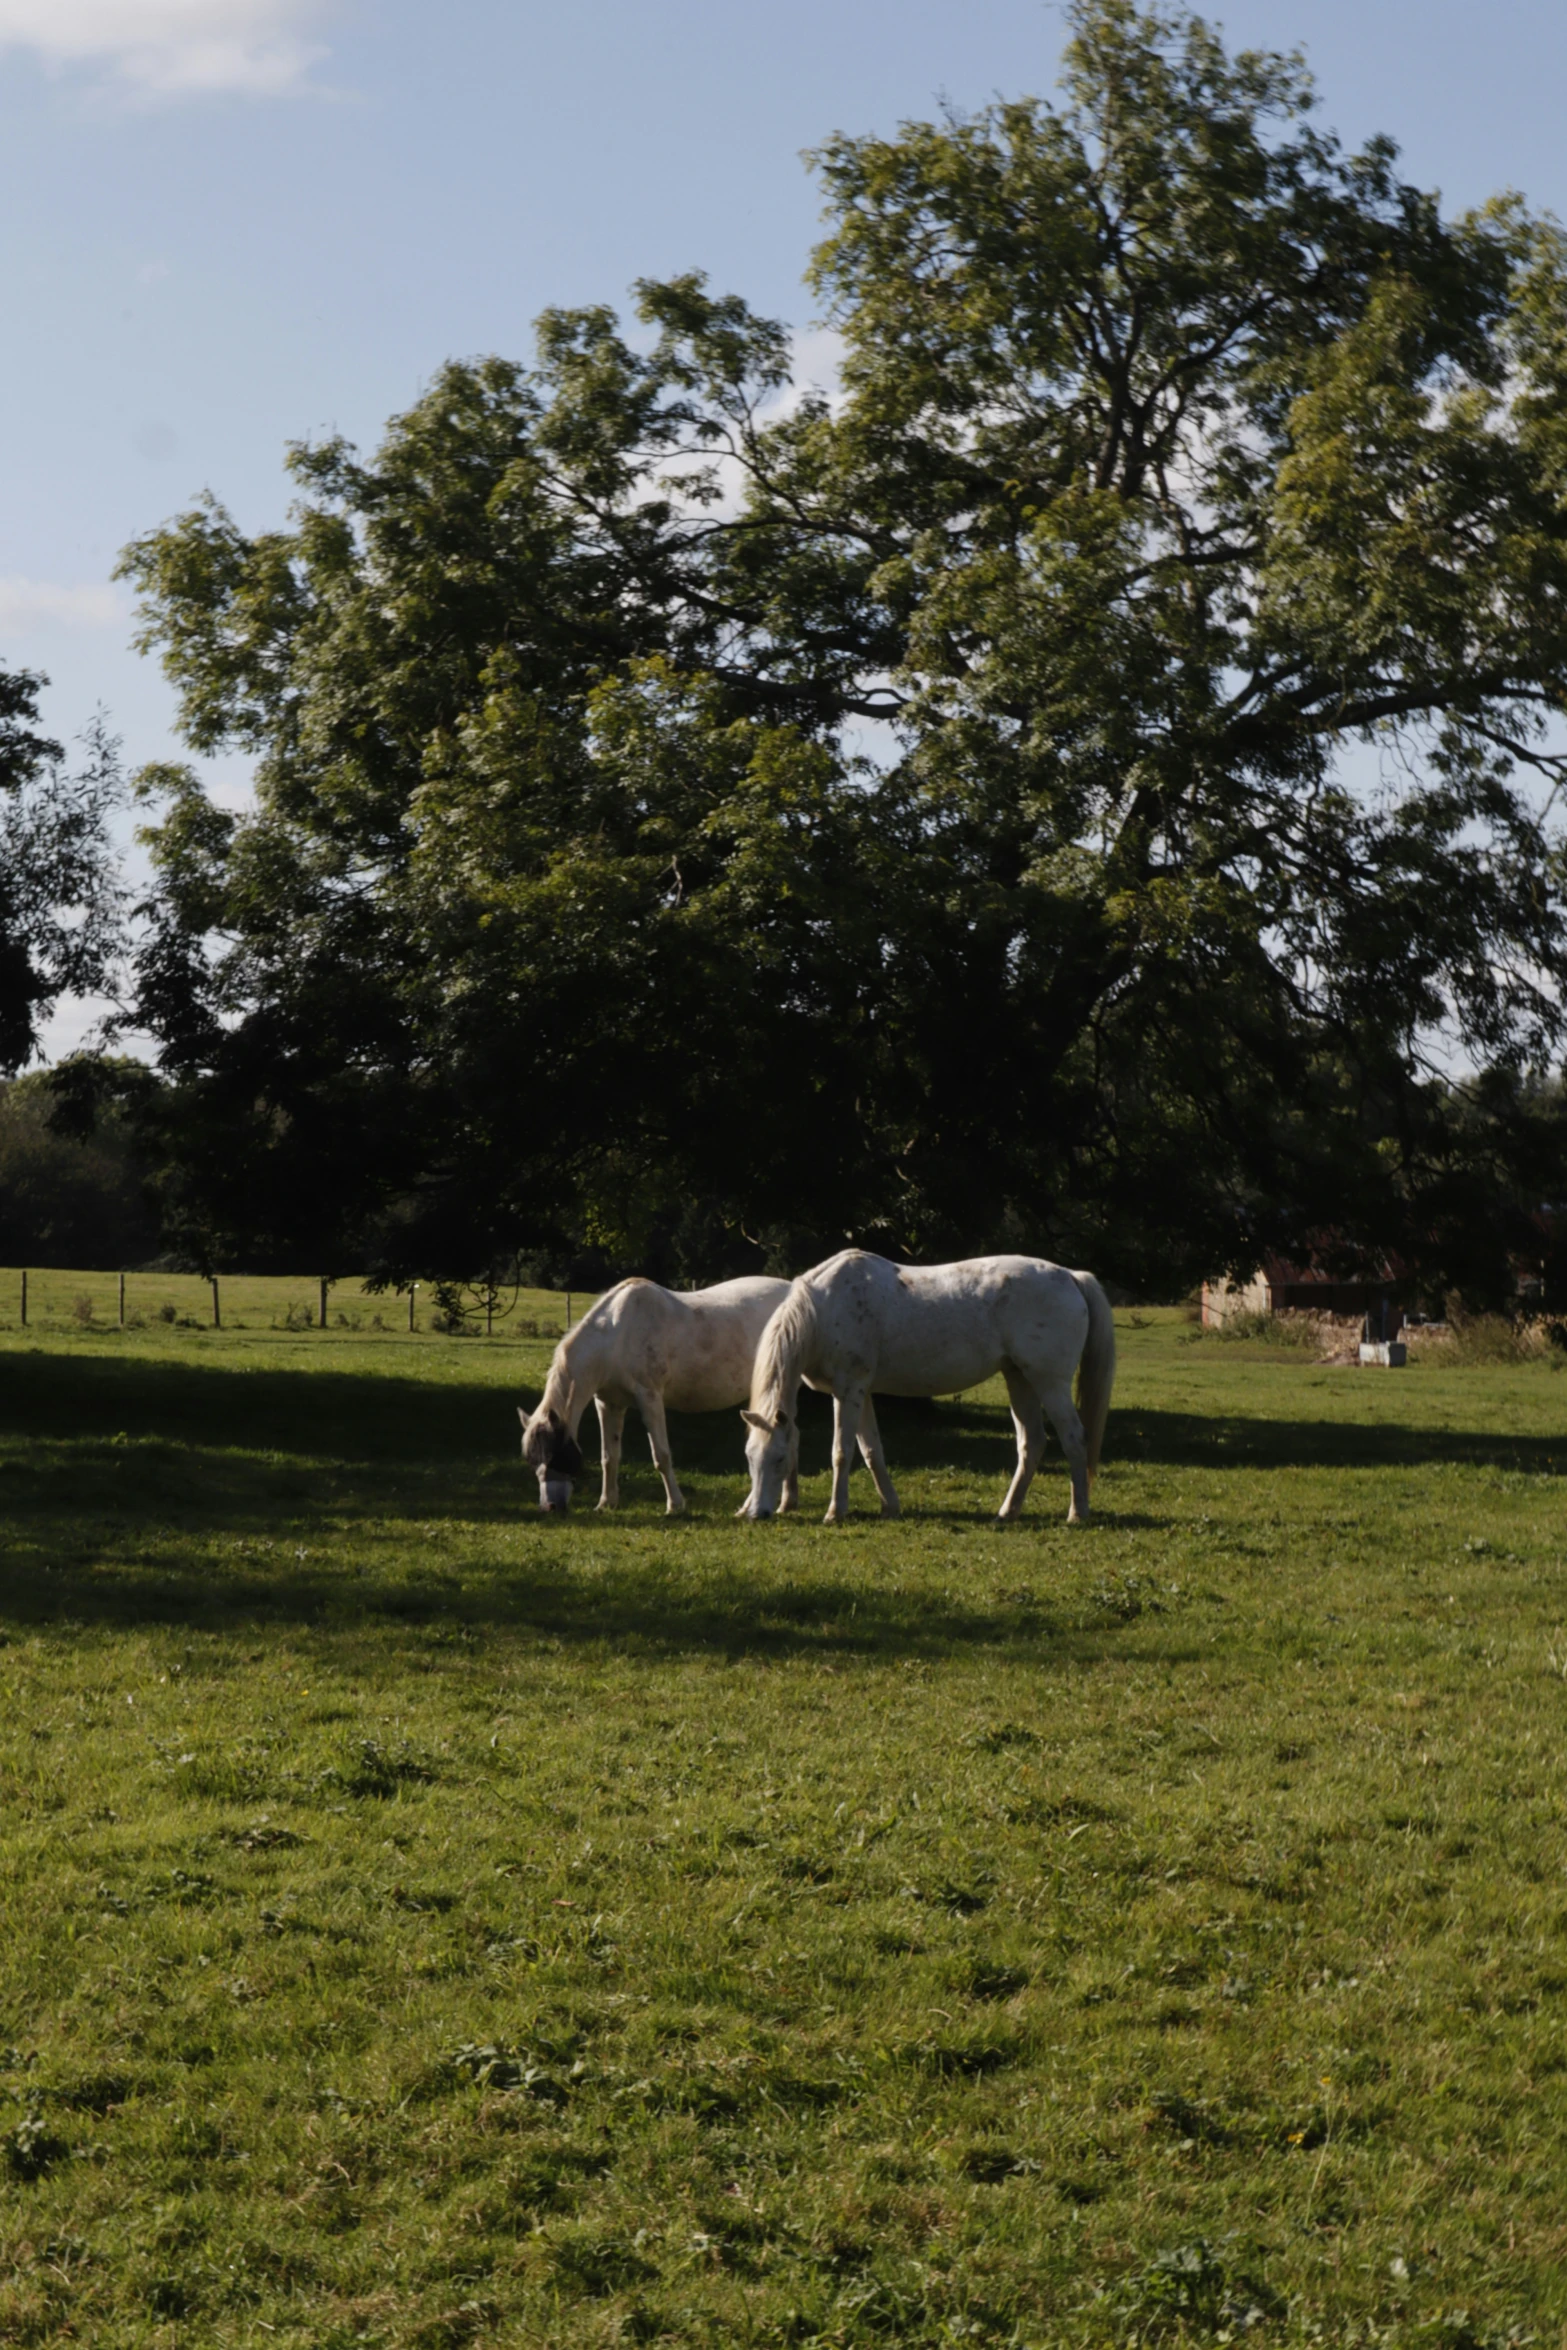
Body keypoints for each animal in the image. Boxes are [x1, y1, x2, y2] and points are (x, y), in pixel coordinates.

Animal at [521, 1278, 798, 1513]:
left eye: (555, 1456)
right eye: (532, 1461)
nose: (549, 1507)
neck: (617, 1335)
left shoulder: (650, 1398)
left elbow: (661, 1456)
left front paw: (675, 1505)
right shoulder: (608, 1403)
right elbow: (609, 1457)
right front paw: (606, 1503)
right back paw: (786, 1503)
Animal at [737, 1250, 1113, 1522]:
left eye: (779, 1458)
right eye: (750, 1457)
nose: (758, 1514)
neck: (823, 1309)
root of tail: (1070, 1276)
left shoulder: (849, 1390)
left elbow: (841, 1451)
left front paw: (835, 1512)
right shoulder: (857, 1393)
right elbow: (871, 1451)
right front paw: (890, 1507)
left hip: (1050, 1383)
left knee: (1074, 1438)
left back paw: (1077, 1513)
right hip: (1019, 1378)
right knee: (1031, 1443)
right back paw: (1007, 1512)